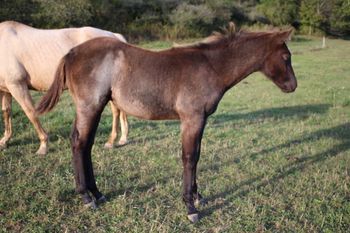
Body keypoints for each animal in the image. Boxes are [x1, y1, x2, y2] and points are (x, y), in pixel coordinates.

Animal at [0, 20, 129, 154]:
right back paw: (123, 138)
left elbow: (30, 112)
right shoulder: (5, 90)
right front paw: (4, 141)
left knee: (116, 111)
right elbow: (6, 111)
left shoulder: (16, 85)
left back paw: (111, 141)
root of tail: (113, 35)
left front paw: (43, 145)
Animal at [36, 23, 298, 222]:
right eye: (286, 57)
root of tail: (71, 53)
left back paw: (97, 193)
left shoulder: (200, 120)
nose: (293, 86)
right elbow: (189, 157)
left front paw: (198, 196)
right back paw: (86, 197)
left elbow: (197, 155)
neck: (210, 67)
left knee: (86, 144)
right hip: (89, 106)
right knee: (79, 143)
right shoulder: (192, 118)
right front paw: (190, 207)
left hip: (95, 108)